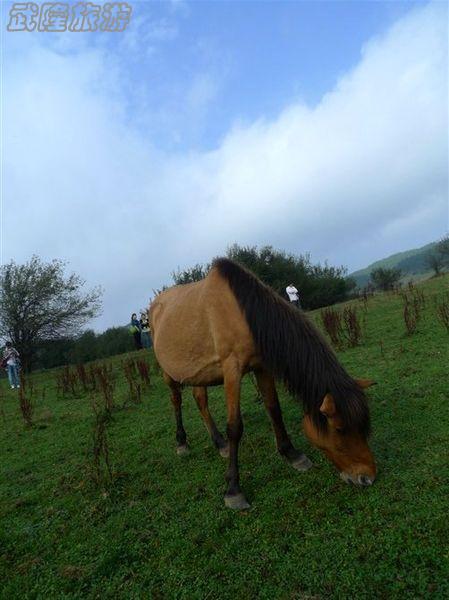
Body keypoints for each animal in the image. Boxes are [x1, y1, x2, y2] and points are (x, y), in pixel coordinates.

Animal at [149, 258, 377, 510]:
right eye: (339, 429)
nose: (367, 477)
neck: (243, 313)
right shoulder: (232, 369)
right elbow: (235, 427)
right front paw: (233, 489)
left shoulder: (262, 366)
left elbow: (274, 410)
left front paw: (292, 454)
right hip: (168, 373)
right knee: (176, 401)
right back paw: (182, 442)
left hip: (197, 371)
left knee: (201, 402)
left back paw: (219, 444)